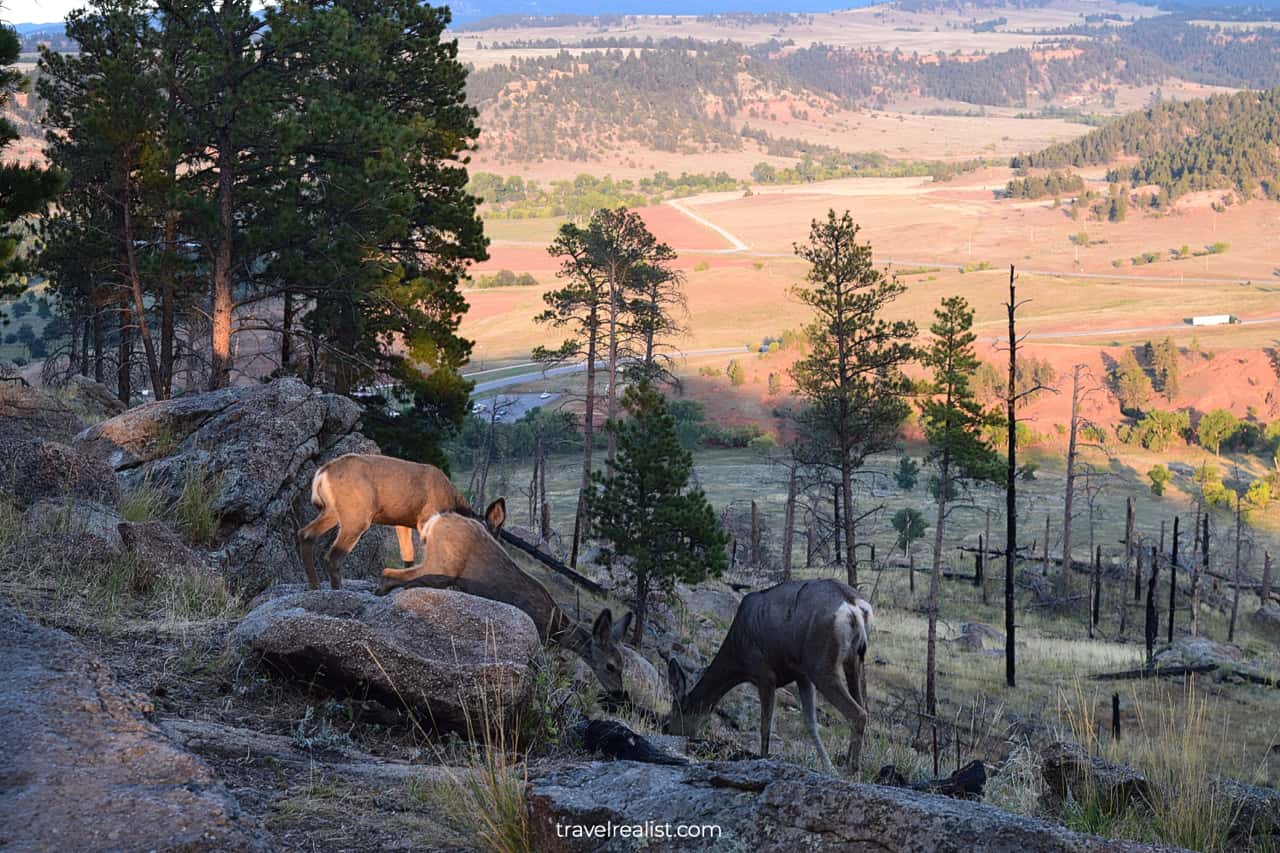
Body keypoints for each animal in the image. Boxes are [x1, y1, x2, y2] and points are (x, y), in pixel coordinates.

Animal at [294, 455, 471, 589]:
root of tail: (322, 473)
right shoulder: (426, 517)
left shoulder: (402, 523)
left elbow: (408, 555)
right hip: (357, 515)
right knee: (333, 556)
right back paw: (337, 590)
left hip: (332, 511)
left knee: (305, 534)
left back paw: (315, 585)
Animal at [373, 499, 645, 696]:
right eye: (611, 665)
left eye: (623, 665)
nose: (620, 694)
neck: (557, 628)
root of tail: (435, 521)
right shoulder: (538, 635)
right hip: (441, 566)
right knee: (390, 573)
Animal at [670, 578, 870, 768]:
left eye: (676, 712)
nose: (668, 730)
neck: (738, 657)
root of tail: (853, 605)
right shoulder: (801, 674)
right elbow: (810, 722)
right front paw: (829, 768)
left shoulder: (764, 672)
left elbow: (765, 725)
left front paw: (763, 758)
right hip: (853, 660)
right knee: (862, 706)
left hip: (821, 664)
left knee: (858, 714)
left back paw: (852, 769)